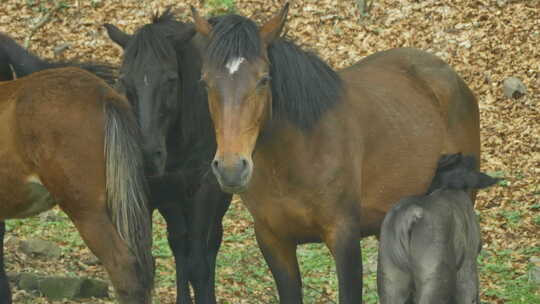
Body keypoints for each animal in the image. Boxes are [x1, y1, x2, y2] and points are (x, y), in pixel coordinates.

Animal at [104, 9, 231, 304]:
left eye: (171, 79)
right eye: (124, 81)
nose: (148, 155)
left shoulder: (205, 190)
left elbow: (199, 265)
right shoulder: (150, 194)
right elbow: (144, 265)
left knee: (210, 244)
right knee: (180, 244)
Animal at [191, 2, 480, 304]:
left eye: (263, 80)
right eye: (205, 82)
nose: (231, 168)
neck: (294, 158)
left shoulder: (344, 238)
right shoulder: (274, 241)